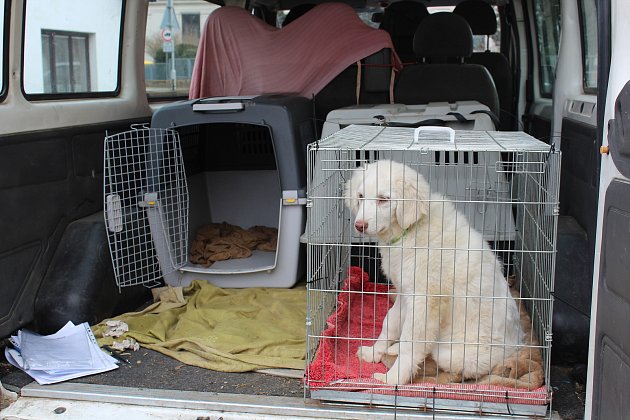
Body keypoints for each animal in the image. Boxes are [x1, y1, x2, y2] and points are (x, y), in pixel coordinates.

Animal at [346, 160, 524, 384]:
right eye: (360, 196)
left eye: (383, 199)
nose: (359, 226)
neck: (410, 231)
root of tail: (518, 346)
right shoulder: (405, 293)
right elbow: (390, 322)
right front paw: (374, 352)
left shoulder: (425, 302)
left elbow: (411, 342)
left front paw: (393, 379)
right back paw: (393, 349)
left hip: (455, 354)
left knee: (440, 357)